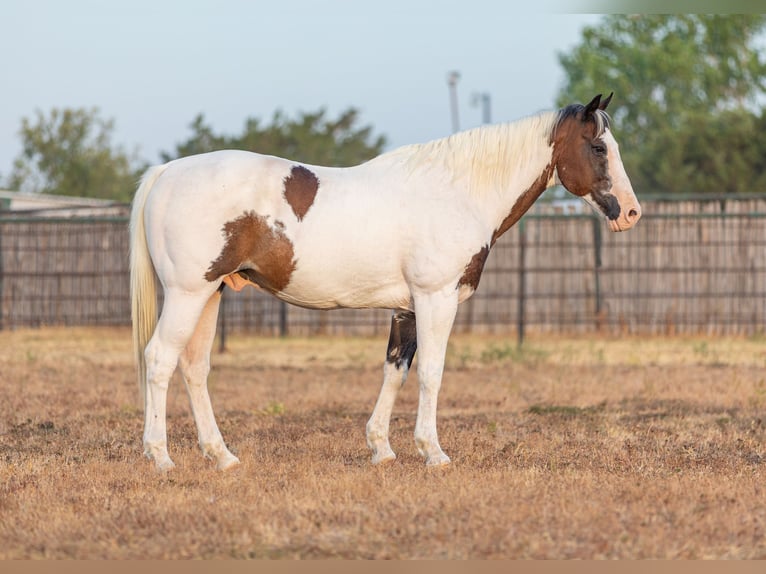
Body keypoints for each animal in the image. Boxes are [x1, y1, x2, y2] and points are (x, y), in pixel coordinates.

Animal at [130, 93, 640, 472]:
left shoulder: (406, 307)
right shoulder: (436, 299)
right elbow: (431, 372)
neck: (457, 192)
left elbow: (396, 371)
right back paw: (160, 457)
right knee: (159, 360)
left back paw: (222, 456)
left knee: (194, 368)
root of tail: (166, 172)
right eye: (599, 148)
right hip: (188, 294)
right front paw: (434, 453)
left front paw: (382, 449)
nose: (631, 213)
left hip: (210, 295)